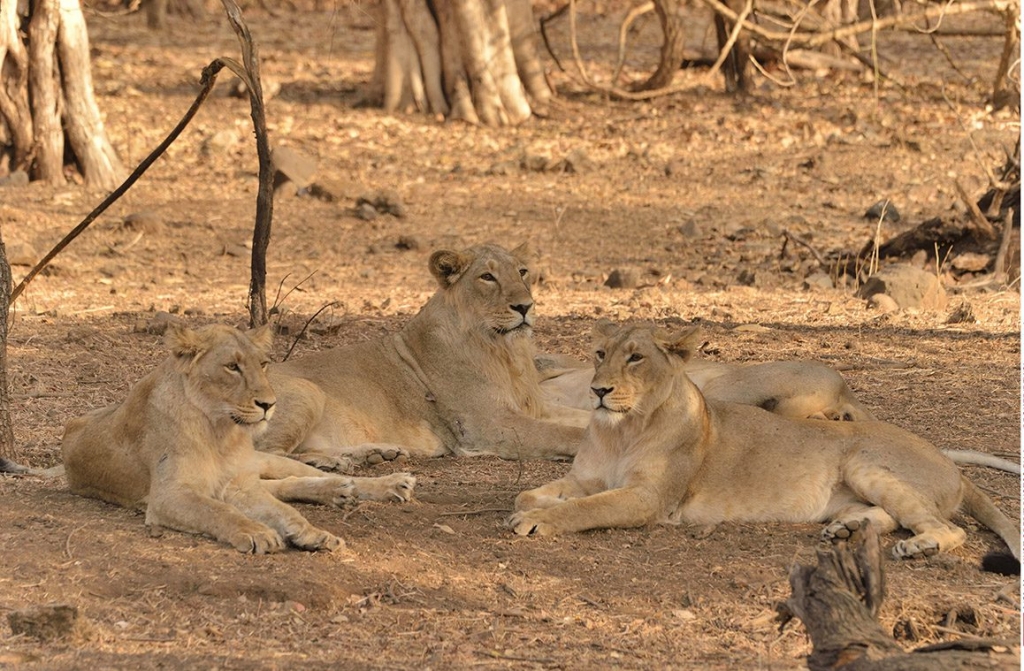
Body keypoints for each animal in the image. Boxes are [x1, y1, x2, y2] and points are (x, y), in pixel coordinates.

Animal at [61, 323, 415, 553]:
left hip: (264, 461)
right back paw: (340, 490)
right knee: (284, 485)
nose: (269, 404)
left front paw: (313, 534)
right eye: (232, 366)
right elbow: (218, 511)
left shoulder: (239, 485)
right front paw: (257, 531)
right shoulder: (169, 496)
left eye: (264, 364)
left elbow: (284, 511)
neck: (220, 430)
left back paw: (386, 481)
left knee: (297, 477)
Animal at [256, 242, 589, 473]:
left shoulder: (535, 408)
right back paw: (331, 464)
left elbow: (583, 418)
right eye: (487, 277)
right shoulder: (489, 425)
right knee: (265, 455)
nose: (525, 306)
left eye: (521, 272)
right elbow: (566, 433)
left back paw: (373, 454)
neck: (504, 352)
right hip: (306, 392)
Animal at [507, 323, 1019, 565]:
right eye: (600, 354)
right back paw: (846, 530)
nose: (598, 390)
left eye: (635, 358)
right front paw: (532, 506)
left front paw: (539, 521)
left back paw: (918, 547)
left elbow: (585, 509)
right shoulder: (586, 477)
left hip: (864, 462)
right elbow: (529, 493)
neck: (622, 429)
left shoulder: (650, 499)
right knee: (892, 516)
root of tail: (953, 468)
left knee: (946, 528)